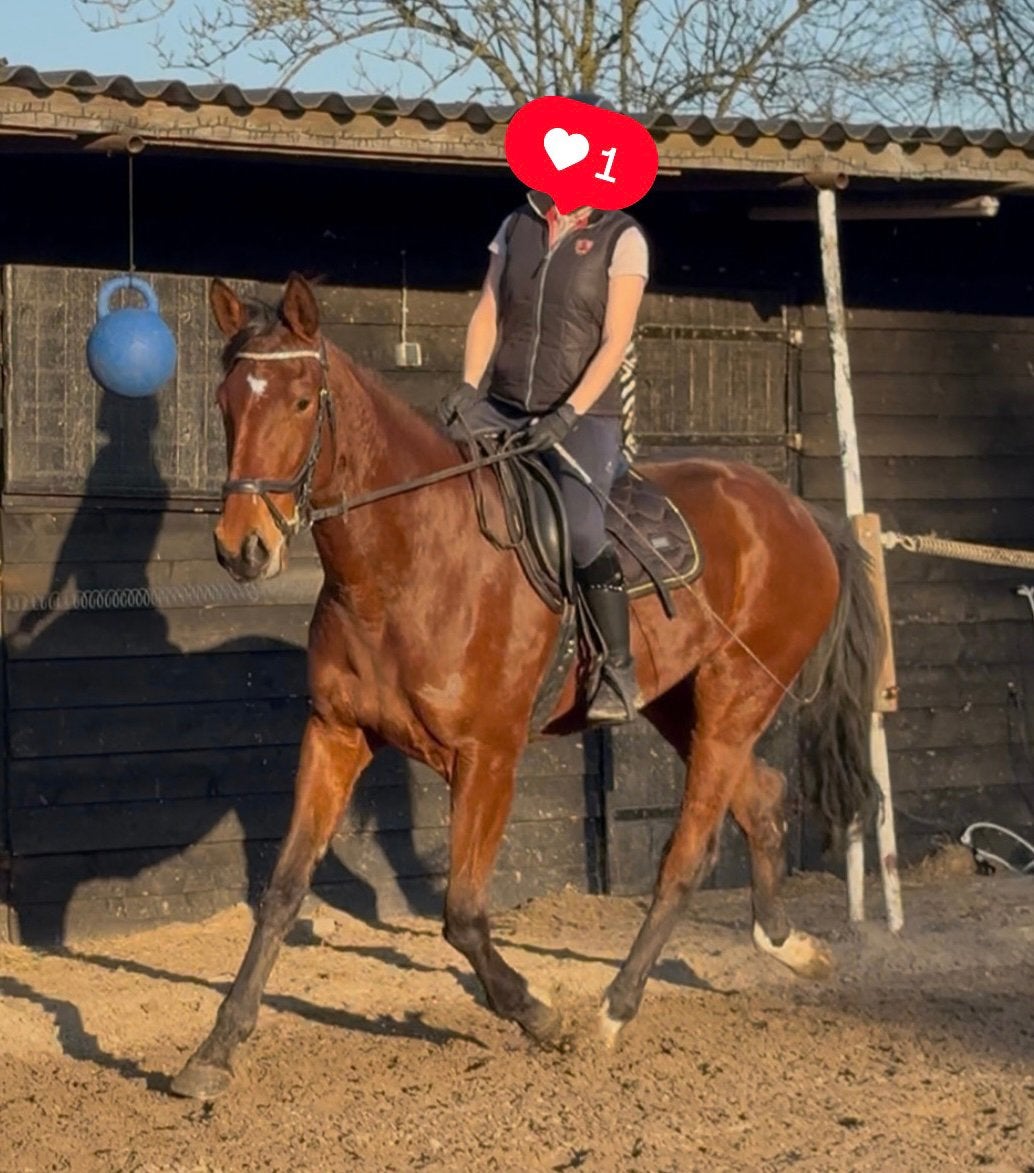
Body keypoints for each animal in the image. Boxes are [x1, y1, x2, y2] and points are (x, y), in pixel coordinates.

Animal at [170, 273, 882, 1099]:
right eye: (225, 400)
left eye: (300, 401)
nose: (242, 548)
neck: (407, 562)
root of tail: (798, 511)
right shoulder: (337, 734)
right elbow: (284, 889)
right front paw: (214, 1049)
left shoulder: (488, 756)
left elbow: (462, 913)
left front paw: (538, 1013)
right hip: (684, 705)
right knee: (761, 798)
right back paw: (788, 946)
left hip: (736, 698)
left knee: (685, 856)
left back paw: (613, 1011)